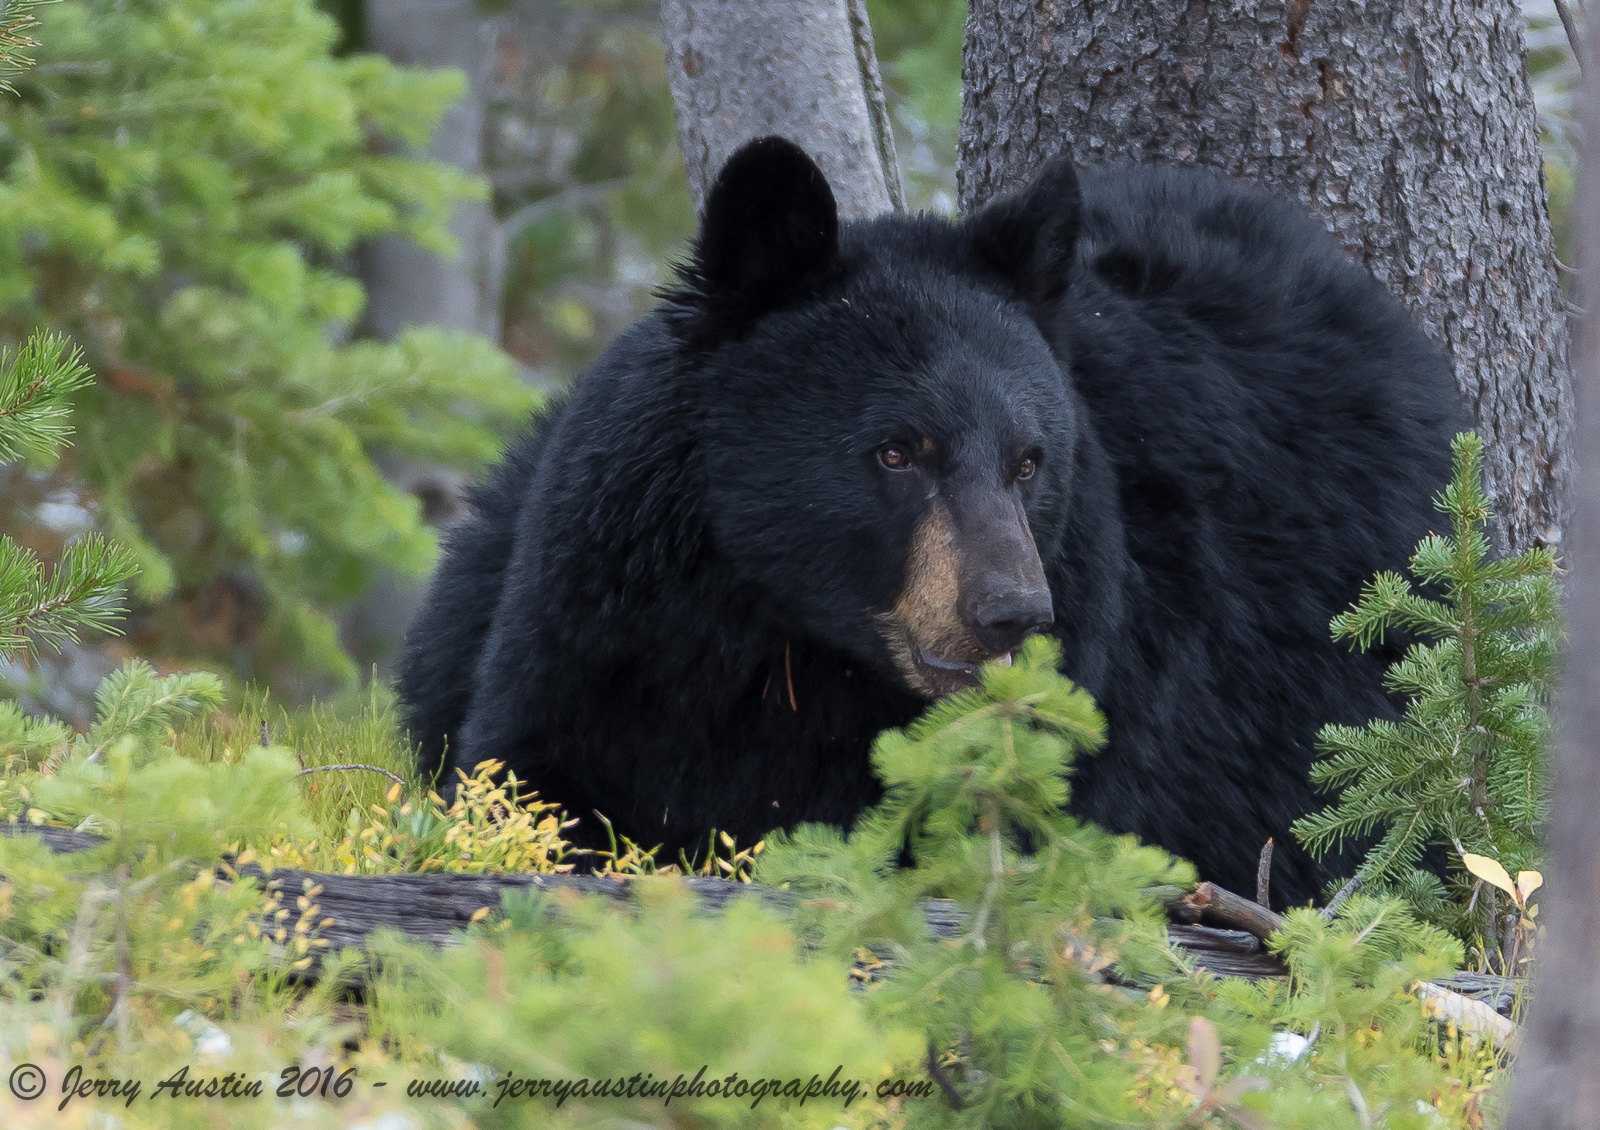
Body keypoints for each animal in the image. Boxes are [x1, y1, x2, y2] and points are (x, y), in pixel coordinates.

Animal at [397, 135, 1463, 908]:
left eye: (1030, 461)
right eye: (897, 452)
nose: (1012, 613)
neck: (789, 643)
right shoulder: (607, 620)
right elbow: (529, 780)